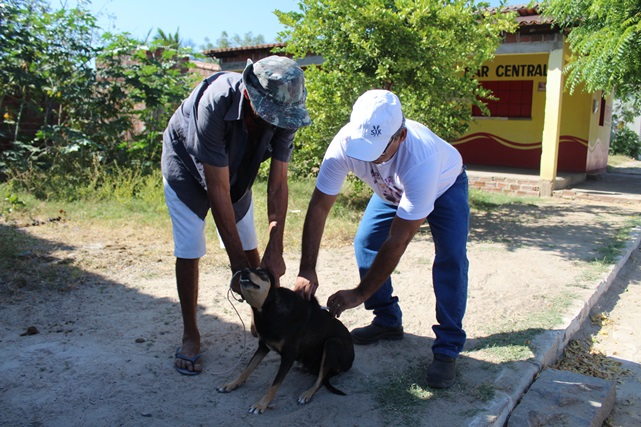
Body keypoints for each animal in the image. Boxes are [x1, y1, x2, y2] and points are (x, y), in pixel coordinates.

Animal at [218, 270, 352, 412]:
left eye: (261, 272)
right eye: (247, 268)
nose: (244, 271)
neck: (268, 309)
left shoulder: (288, 355)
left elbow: (274, 385)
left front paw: (261, 404)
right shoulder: (263, 346)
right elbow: (247, 369)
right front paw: (232, 384)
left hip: (332, 343)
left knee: (320, 380)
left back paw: (307, 394)